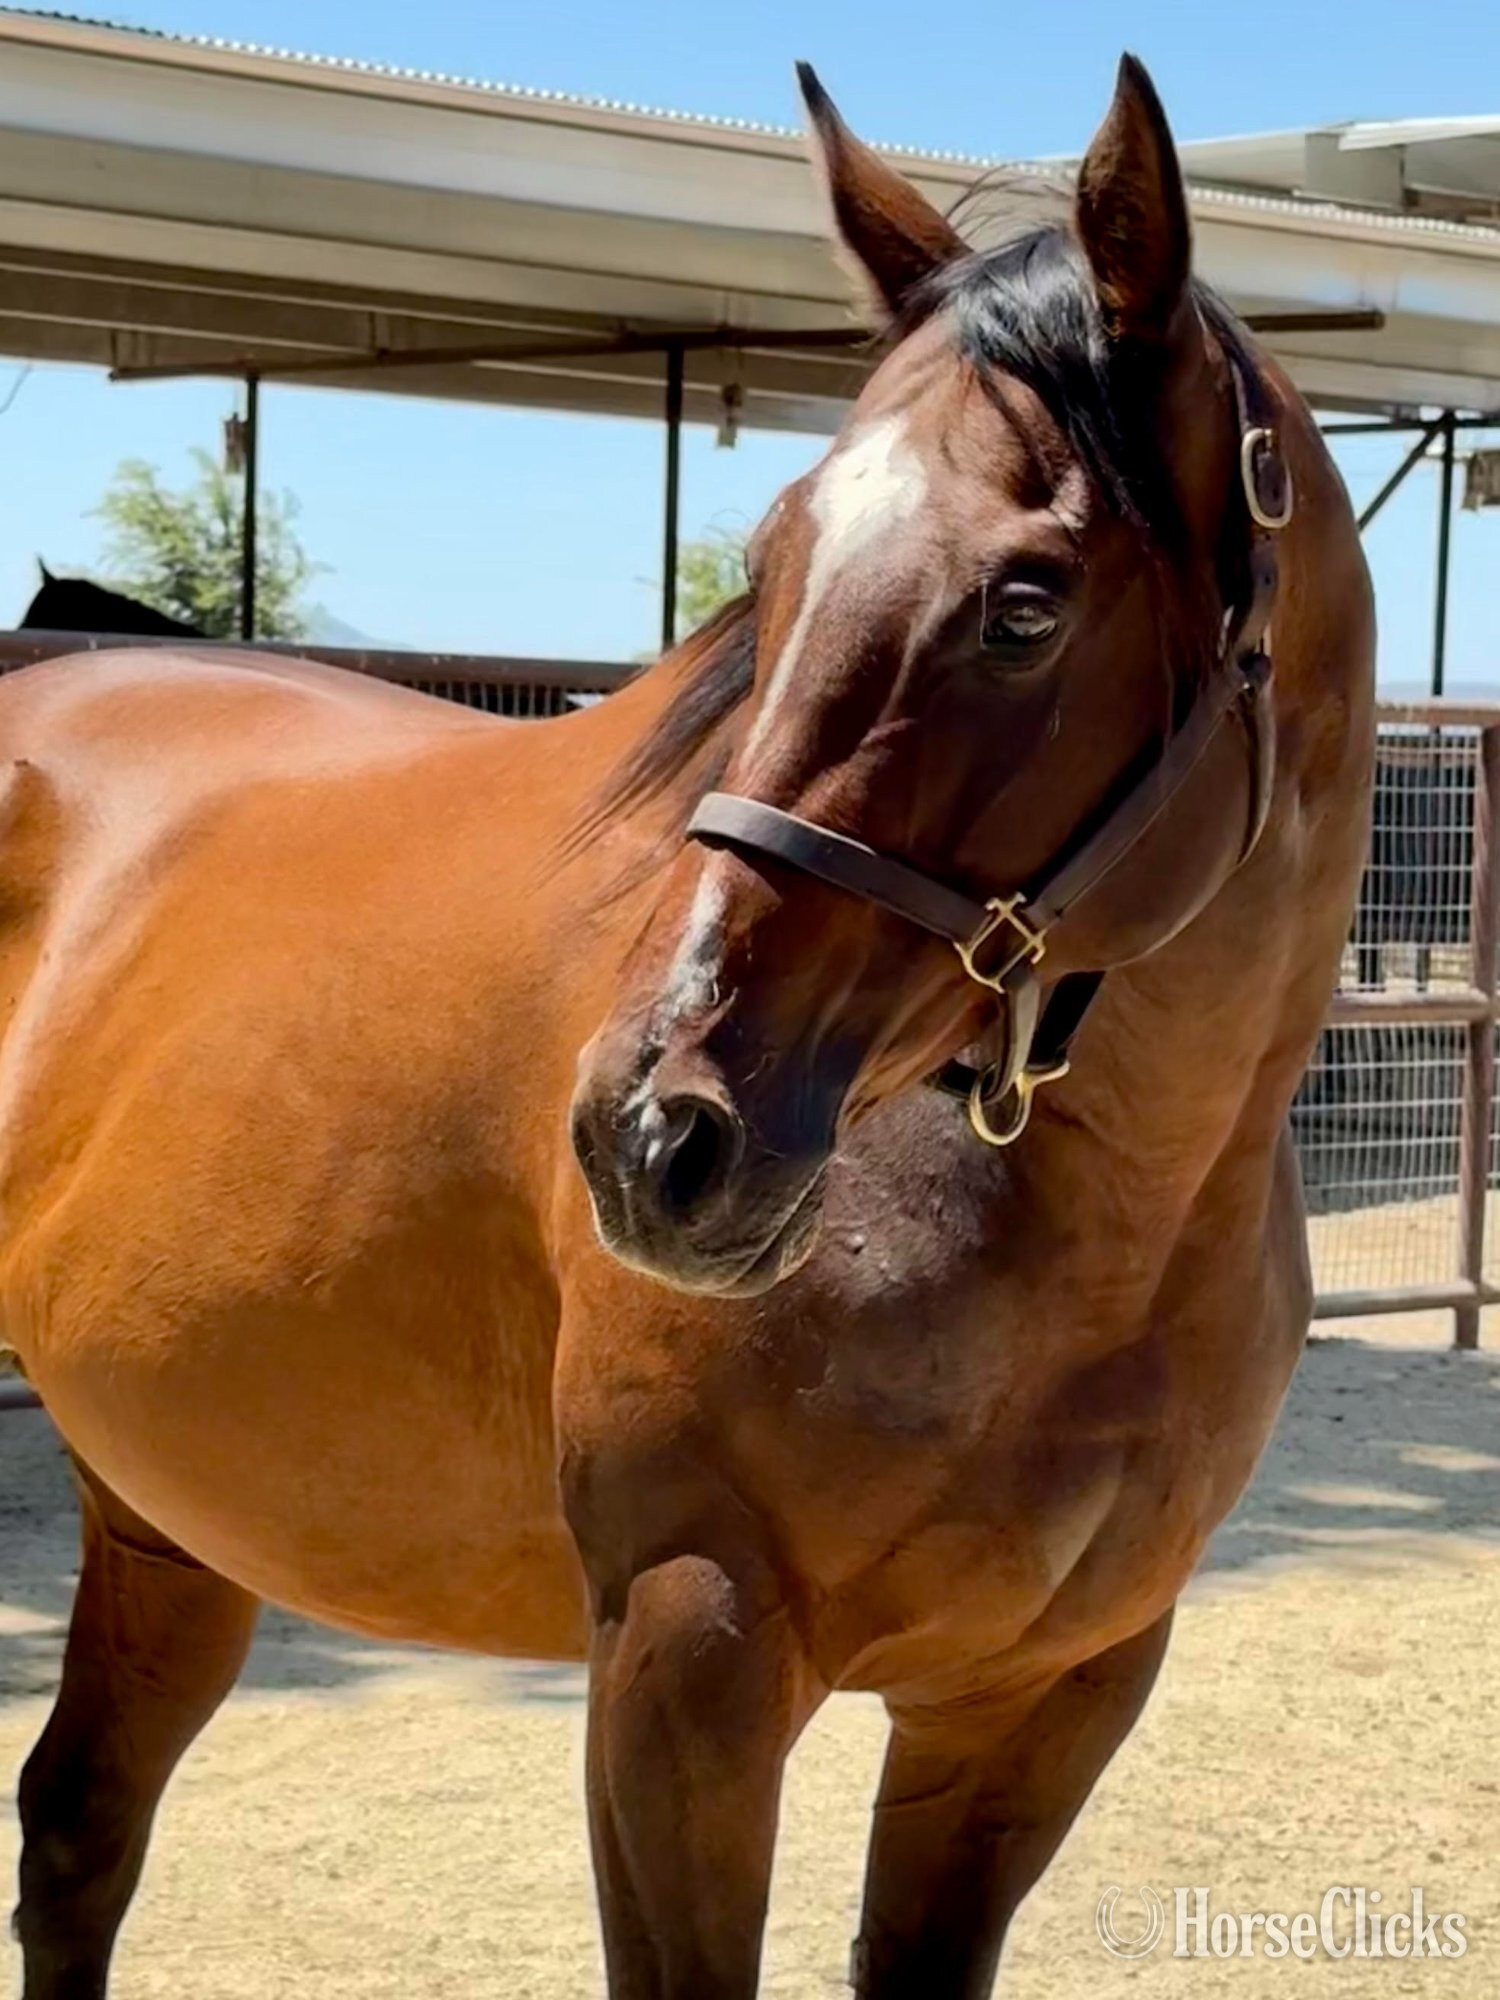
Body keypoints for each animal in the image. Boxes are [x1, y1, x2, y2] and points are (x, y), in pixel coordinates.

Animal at [3, 55, 1372, 2000]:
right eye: (777, 554)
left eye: (1025, 607)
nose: (652, 1136)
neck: (1104, 1235)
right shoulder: (684, 1663)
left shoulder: (1041, 1701)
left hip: (165, 1511)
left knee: (81, 1829)